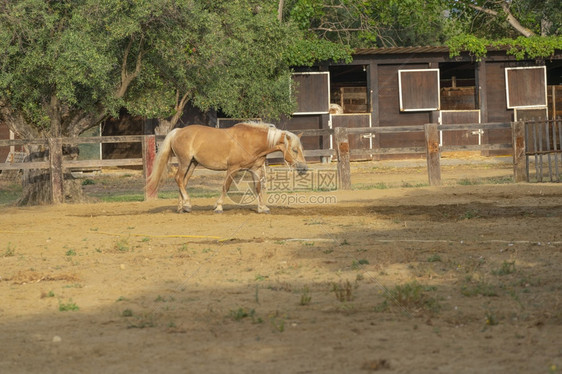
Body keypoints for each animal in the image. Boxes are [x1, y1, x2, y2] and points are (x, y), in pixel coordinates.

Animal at [144, 122, 306, 213]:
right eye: (294, 150)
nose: (304, 169)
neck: (251, 141)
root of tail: (178, 131)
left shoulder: (255, 169)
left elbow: (258, 188)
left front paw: (262, 208)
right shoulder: (232, 168)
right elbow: (225, 187)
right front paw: (219, 207)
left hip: (192, 164)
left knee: (183, 181)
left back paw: (182, 207)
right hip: (184, 161)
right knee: (178, 179)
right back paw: (187, 204)